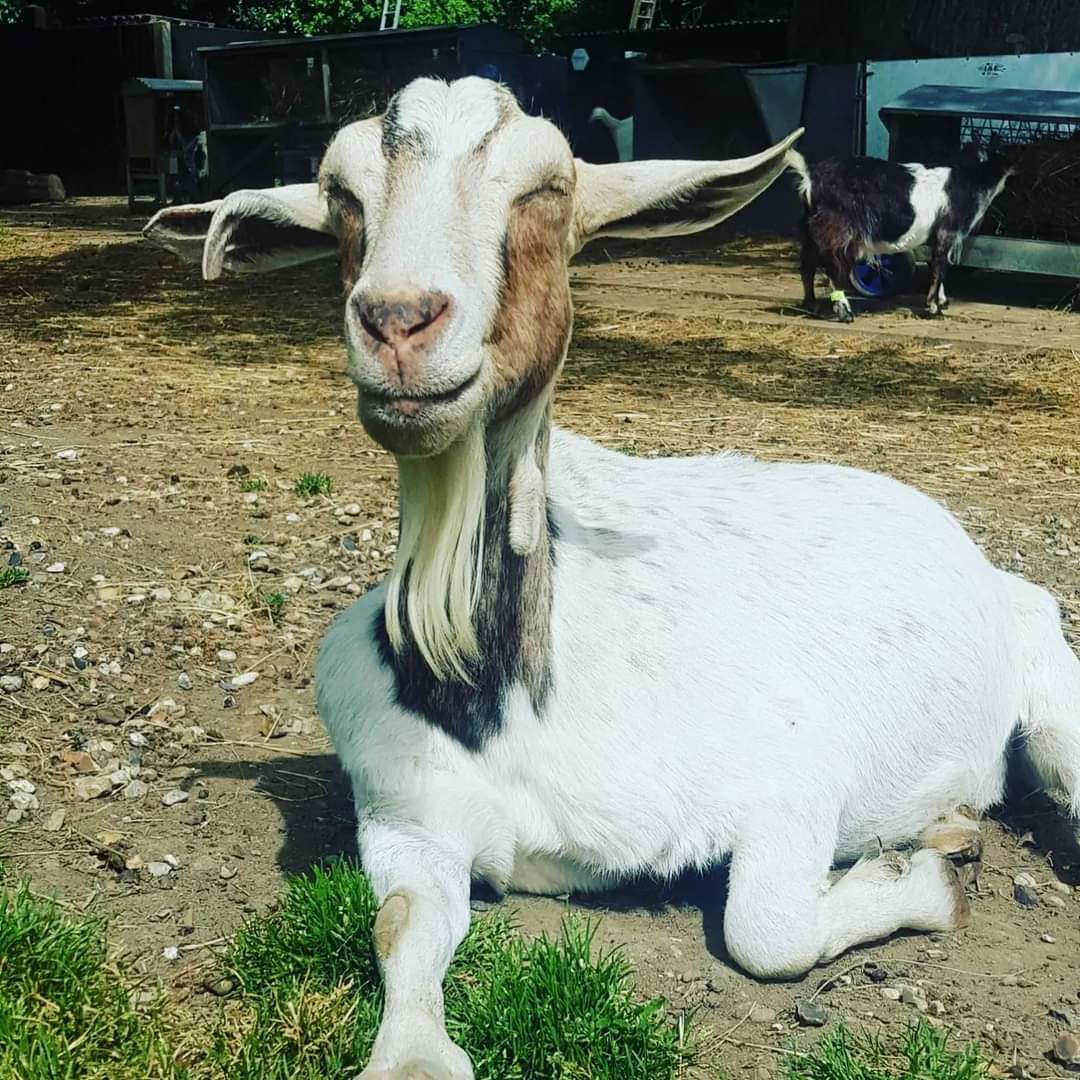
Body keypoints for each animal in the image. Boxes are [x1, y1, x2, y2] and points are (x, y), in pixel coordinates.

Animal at [786, 148, 1014, 322]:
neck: (970, 181)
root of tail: (810, 178)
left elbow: (936, 265)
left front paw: (941, 301)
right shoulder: (945, 232)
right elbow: (940, 267)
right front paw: (934, 308)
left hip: (812, 232)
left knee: (807, 267)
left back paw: (812, 306)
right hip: (838, 231)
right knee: (833, 268)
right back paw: (845, 313)